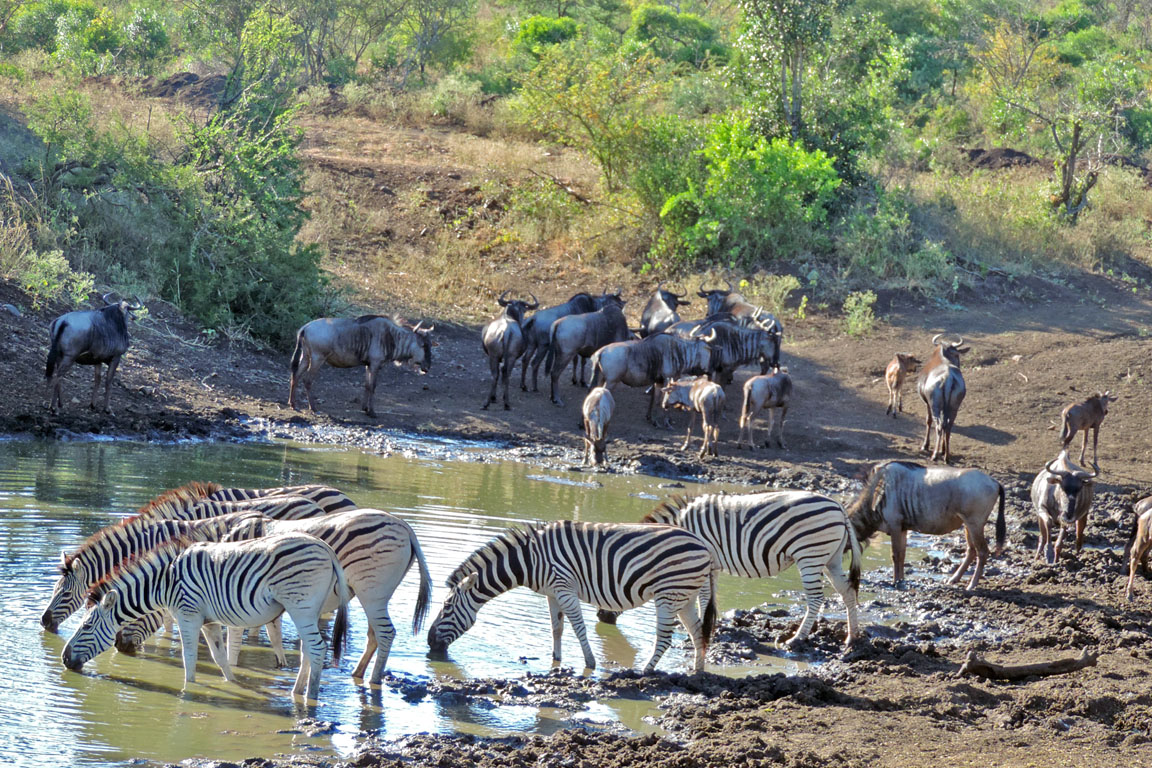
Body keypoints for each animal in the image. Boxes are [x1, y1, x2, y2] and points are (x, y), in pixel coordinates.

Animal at [62, 534, 347, 704]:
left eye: (86, 626)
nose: (64, 659)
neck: (164, 583)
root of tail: (326, 547)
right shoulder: (209, 622)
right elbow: (220, 659)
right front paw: (233, 685)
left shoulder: (188, 616)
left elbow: (189, 660)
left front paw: (188, 690)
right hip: (309, 609)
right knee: (308, 650)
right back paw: (296, 692)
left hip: (300, 605)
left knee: (317, 649)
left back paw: (310, 697)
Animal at [216, 506, 433, 681]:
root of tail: (404, 525)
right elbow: (272, 635)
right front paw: (280, 664)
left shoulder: (237, 595)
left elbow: (235, 642)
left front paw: (233, 671)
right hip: (378, 596)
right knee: (374, 635)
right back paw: (357, 673)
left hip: (371, 592)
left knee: (386, 633)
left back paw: (374, 679)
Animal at [428, 522, 714, 672]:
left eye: (446, 606)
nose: (429, 642)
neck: (531, 561)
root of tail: (705, 547)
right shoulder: (552, 593)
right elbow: (556, 628)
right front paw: (555, 659)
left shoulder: (564, 587)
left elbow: (579, 628)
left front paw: (590, 663)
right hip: (685, 596)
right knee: (697, 631)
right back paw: (697, 671)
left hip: (669, 595)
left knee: (665, 638)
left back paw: (644, 672)